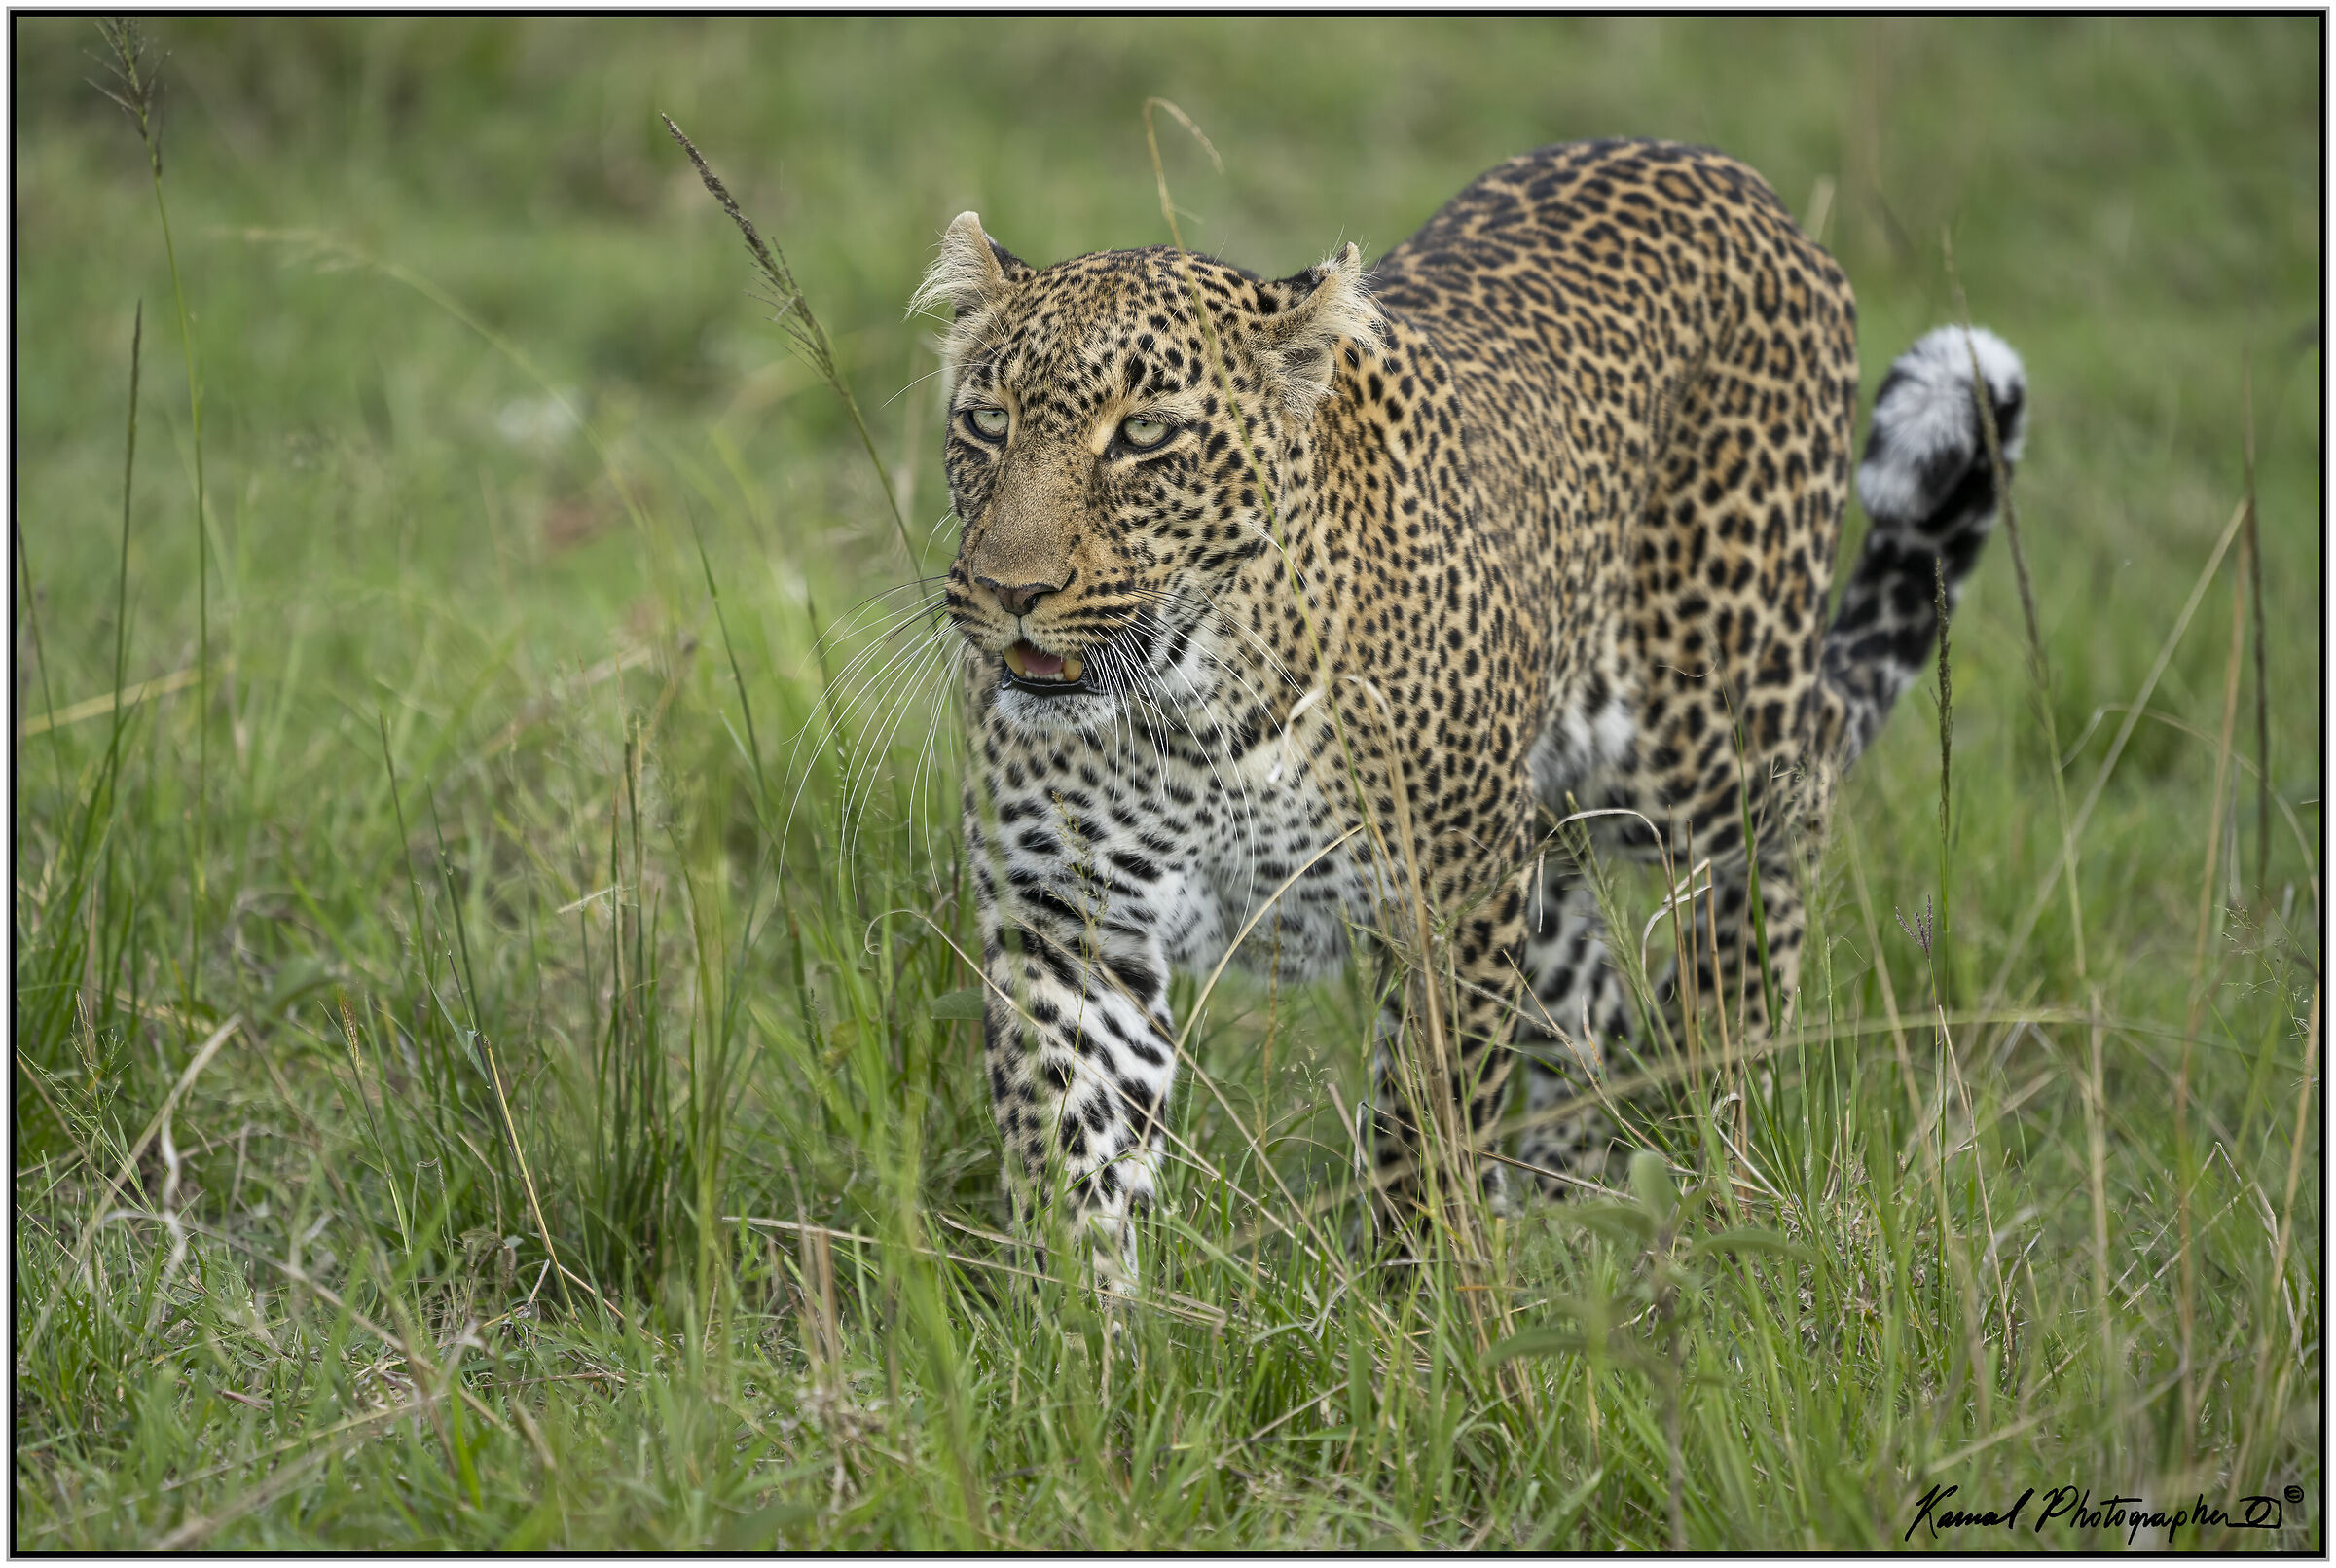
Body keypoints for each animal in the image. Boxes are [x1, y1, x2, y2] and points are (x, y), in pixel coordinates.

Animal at [908, 138, 2027, 1291]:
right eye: (986, 423)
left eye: (1142, 437)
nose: (1009, 590)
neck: (1196, 708)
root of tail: (1732, 176)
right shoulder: (1064, 917)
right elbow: (1072, 1149)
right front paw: (1086, 1322)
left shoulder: (1447, 899)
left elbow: (1426, 1119)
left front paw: (1416, 1302)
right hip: (1545, 832)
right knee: (1587, 1012)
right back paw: (1582, 1219)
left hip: (1701, 733)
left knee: (1772, 852)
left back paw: (1713, 1108)